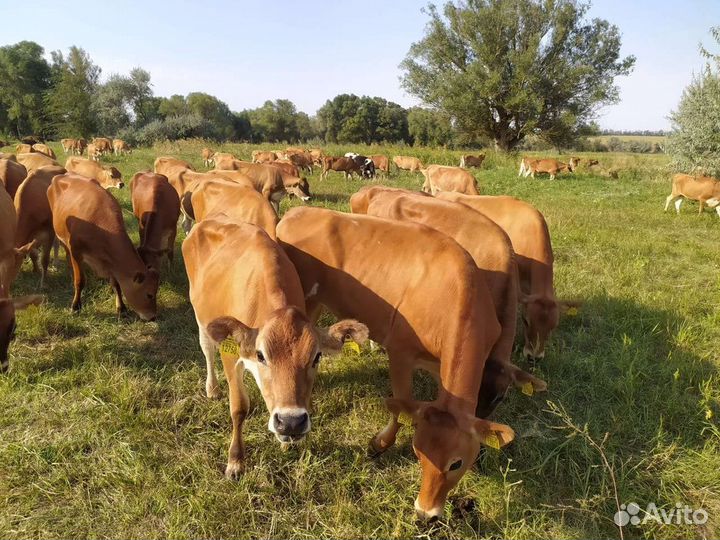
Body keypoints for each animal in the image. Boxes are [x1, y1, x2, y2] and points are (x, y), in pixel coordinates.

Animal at [48, 174, 159, 319]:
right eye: (149, 294)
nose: (153, 316)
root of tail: (61, 175)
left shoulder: (111, 261)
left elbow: (116, 284)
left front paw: (121, 308)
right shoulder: (76, 251)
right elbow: (80, 281)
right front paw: (76, 306)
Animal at [182, 216, 368, 476]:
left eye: (317, 357)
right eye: (261, 355)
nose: (290, 422)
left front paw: (286, 444)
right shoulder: (232, 355)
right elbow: (239, 407)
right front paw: (235, 460)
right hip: (199, 311)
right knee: (207, 348)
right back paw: (212, 387)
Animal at [277, 207, 521, 520]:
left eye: (456, 463)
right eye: (418, 454)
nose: (425, 512)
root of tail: (298, 212)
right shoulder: (400, 354)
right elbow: (400, 405)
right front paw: (381, 443)